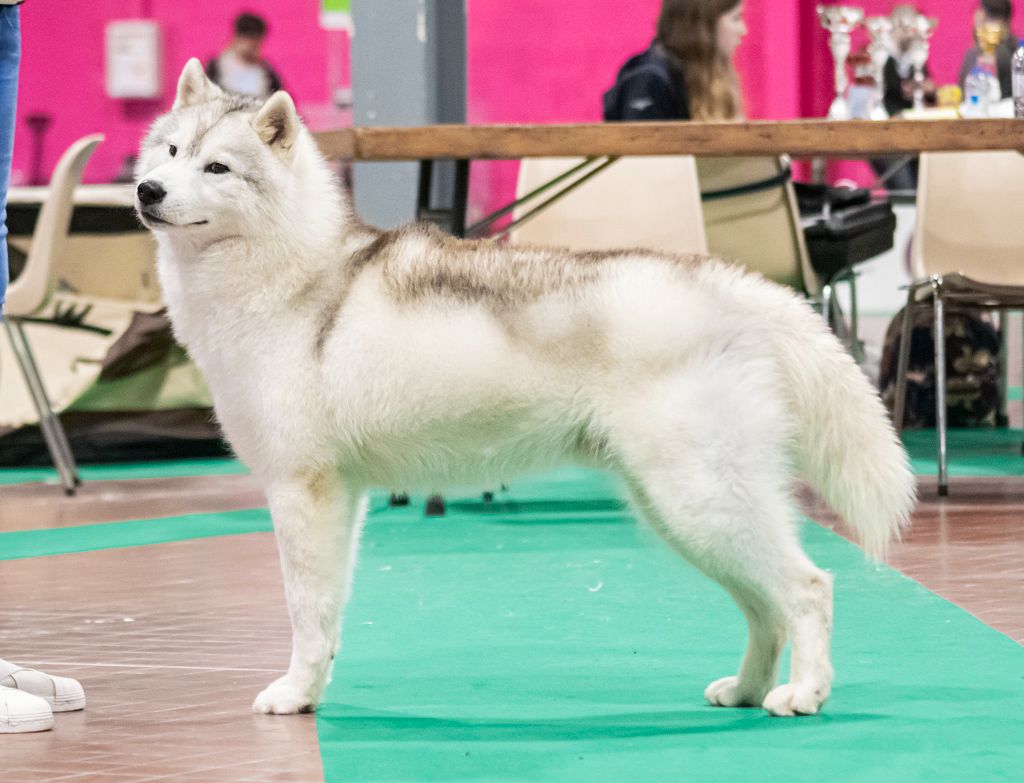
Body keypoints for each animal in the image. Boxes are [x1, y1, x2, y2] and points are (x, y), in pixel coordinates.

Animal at [134, 61, 913, 716]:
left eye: (217, 166)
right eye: (169, 152)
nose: (146, 190)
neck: (285, 271)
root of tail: (735, 286)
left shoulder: (303, 490)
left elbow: (304, 610)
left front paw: (295, 694)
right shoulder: (339, 496)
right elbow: (328, 612)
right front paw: (313, 690)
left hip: (701, 502)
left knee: (808, 589)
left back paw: (803, 693)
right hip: (682, 512)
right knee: (764, 607)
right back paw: (748, 689)